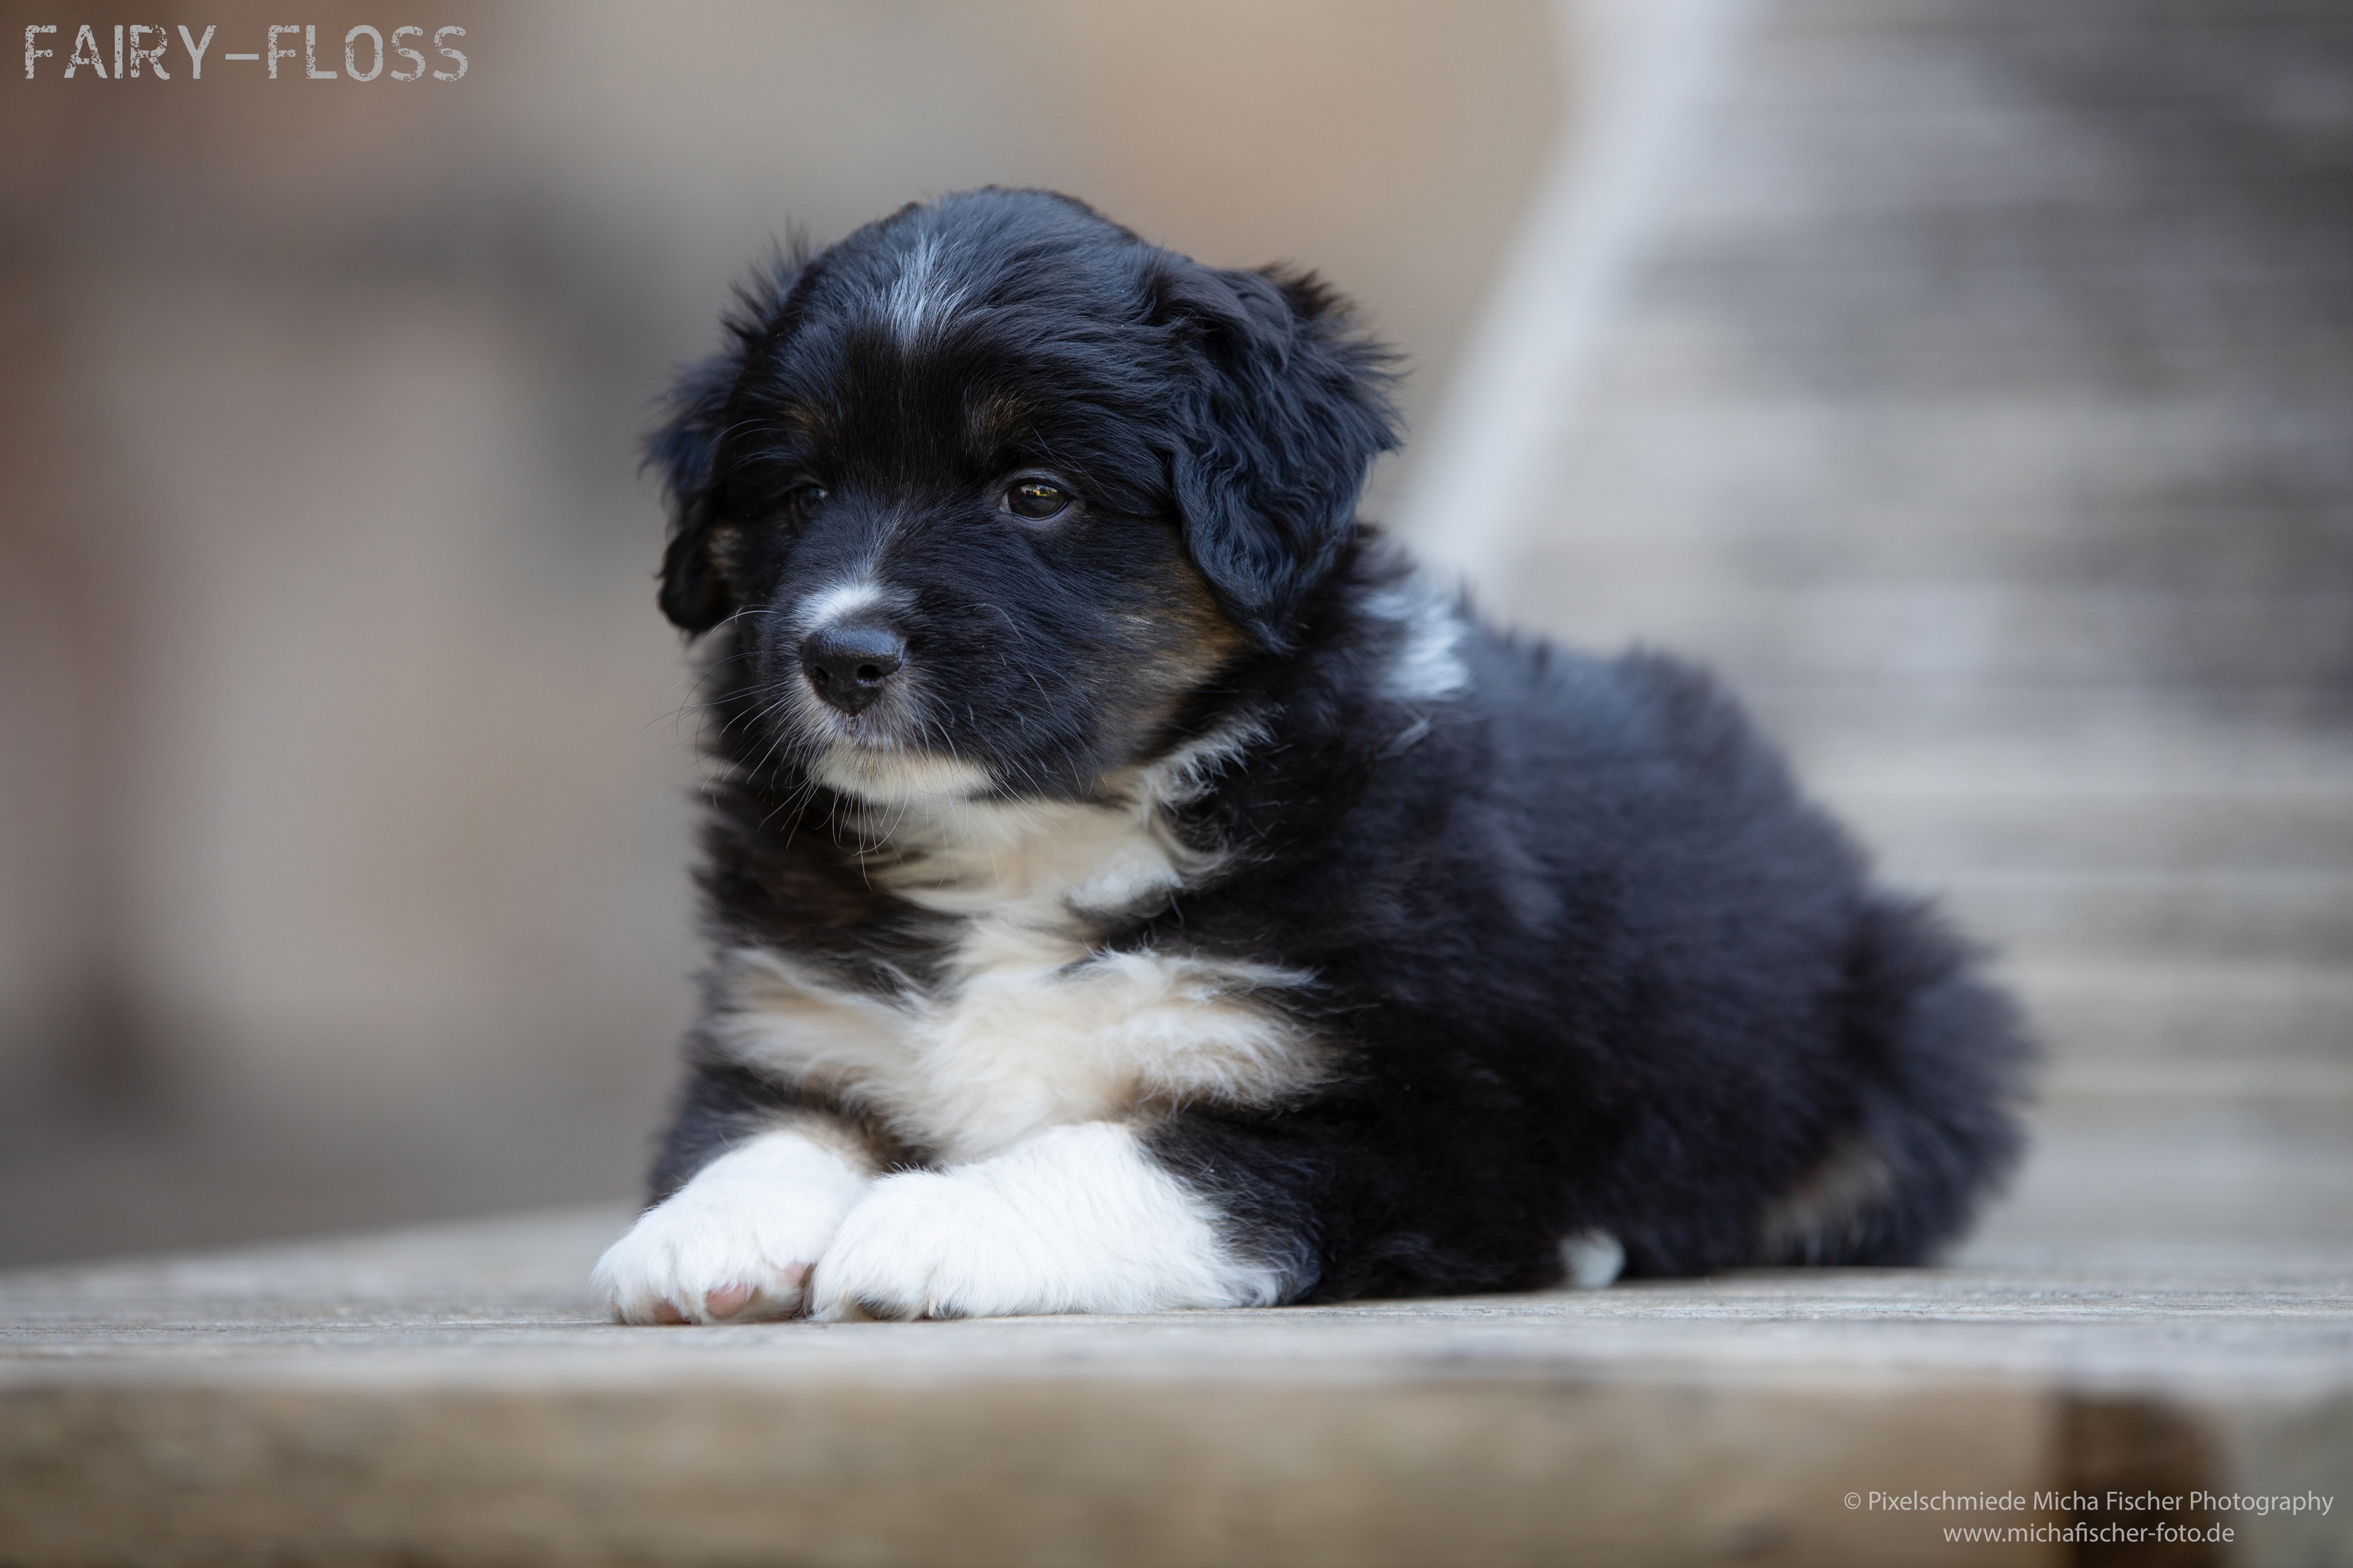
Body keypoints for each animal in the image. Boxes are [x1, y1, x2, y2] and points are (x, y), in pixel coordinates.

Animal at [583, 190, 2024, 1335]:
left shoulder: (1409, 1121)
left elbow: (1148, 1160)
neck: (1035, 837)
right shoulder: (799, 1021)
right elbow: (765, 1129)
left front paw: (927, 1224)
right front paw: (700, 1236)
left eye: (1035, 493)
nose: (842, 654)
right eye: (800, 497)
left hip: (1915, 1026)